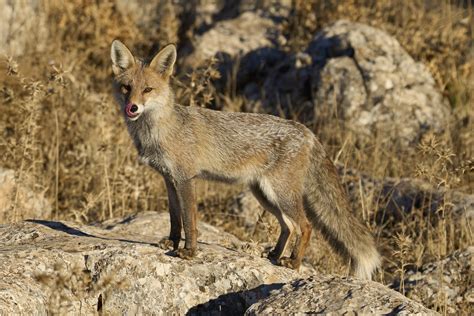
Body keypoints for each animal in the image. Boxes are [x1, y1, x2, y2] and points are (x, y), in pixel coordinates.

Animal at [109, 39, 380, 278]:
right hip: (264, 195)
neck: (159, 131)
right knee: (288, 226)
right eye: (126, 88)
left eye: (147, 90)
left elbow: (189, 221)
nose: (132, 108)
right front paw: (172, 243)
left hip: (281, 194)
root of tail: (308, 131)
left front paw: (189, 252)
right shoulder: (169, 180)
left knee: (305, 226)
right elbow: (175, 219)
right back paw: (274, 255)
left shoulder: (186, 179)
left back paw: (293, 263)